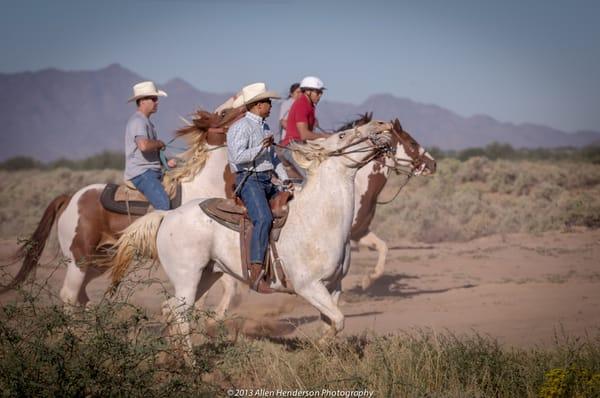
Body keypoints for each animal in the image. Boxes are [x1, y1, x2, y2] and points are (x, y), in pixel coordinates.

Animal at [110, 120, 396, 352]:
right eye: (343, 135)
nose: (382, 126)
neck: (319, 218)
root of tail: (167, 215)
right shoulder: (308, 286)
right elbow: (338, 320)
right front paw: (318, 345)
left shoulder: (333, 285)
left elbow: (332, 321)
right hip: (187, 277)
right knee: (180, 313)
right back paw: (190, 363)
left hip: (207, 274)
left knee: (171, 309)